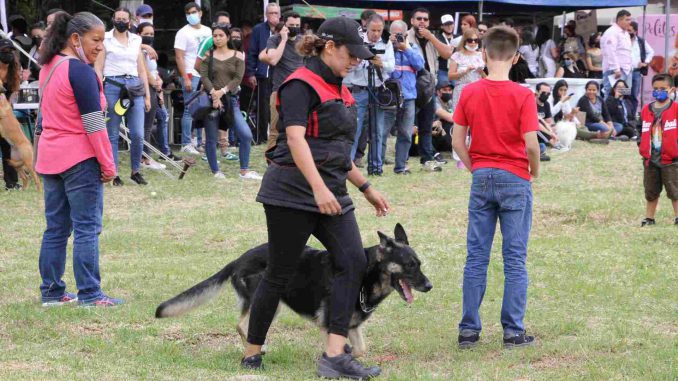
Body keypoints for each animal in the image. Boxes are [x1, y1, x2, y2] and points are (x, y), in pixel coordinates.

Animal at [155, 223, 432, 356]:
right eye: (409, 265)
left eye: (419, 263)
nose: (429, 286)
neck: (367, 276)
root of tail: (238, 259)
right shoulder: (331, 323)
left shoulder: (351, 326)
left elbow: (360, 349)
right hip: (269, 300)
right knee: (241, 324)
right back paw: (259, 348)